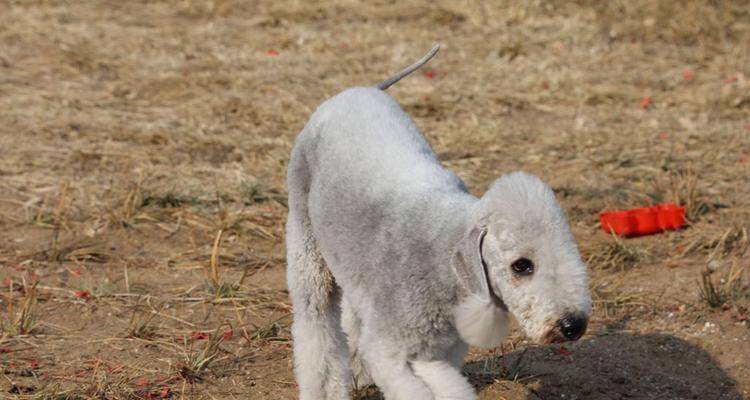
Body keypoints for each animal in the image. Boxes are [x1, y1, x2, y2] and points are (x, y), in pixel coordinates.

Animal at [288, 47, 592, 400]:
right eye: (521, 266)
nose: (573, 325)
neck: (443, 258)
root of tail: (358, 91)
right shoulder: (391, 348)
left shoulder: (440, 350)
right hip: (306, 242)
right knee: (316, 322)